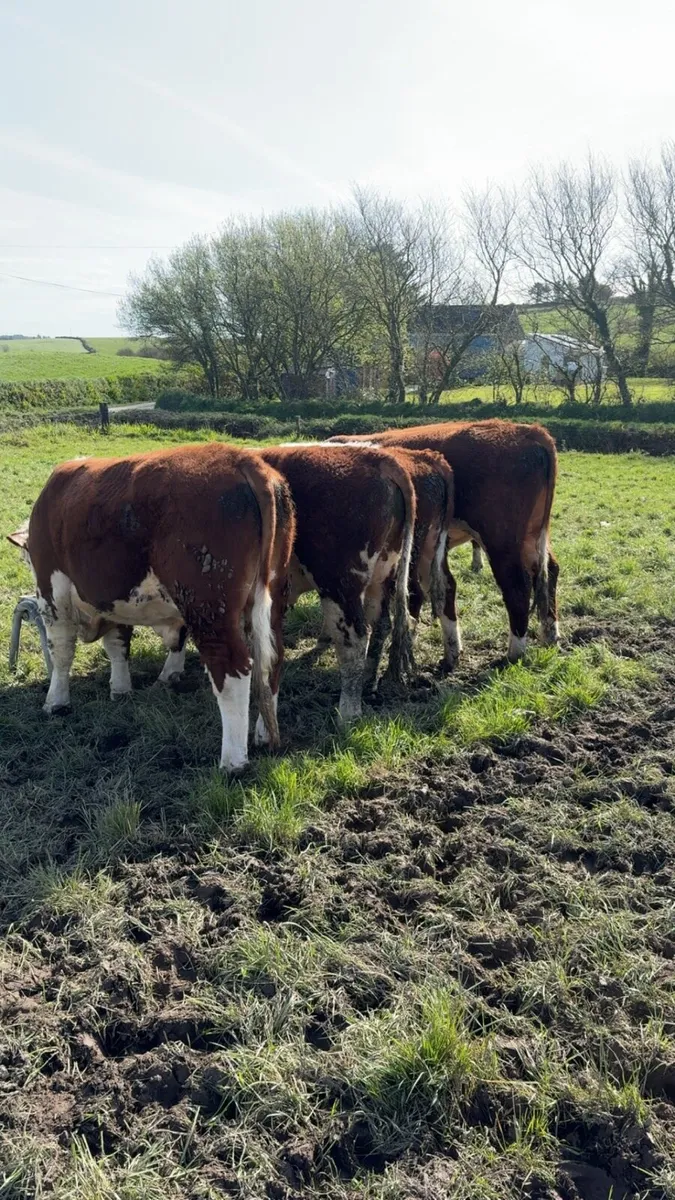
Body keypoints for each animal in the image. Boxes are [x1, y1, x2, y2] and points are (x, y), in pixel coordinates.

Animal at [12, 443, 295, 772]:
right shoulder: (113, 598)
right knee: (271, 661)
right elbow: (118, 644)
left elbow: (61, 652)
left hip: (209, 608)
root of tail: (243, 460)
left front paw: (56, 701)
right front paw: (120, 688)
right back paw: (264, 733)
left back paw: (232, 762)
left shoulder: (52, 593)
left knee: (232, 667)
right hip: (271, 599)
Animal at [329, 420, 559, 663]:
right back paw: (550, 635)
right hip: (532, 536)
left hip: (502, 540)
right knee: (548, 572)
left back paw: (514, 653)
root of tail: (528, 431)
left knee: (517, 586)